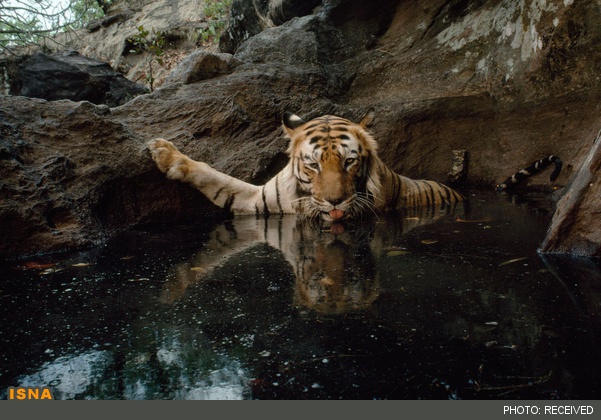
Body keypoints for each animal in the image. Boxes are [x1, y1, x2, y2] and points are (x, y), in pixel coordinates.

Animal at [146, 109, 464, 223]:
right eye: (313, 165)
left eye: (349, 161)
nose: (335, 201)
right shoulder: (256, 201)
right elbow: (218, 178)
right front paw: (164, 153)